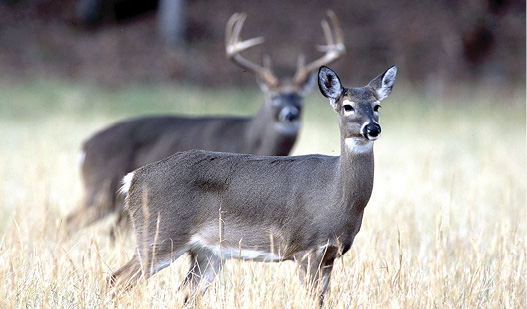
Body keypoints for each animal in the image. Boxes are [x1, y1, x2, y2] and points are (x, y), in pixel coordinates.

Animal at [66, 12, 346, 233]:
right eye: (273, 97)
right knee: (70, 222)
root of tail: (84, 147)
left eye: (300, 97)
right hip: (100, 187)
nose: (290, 114)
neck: (254, 142)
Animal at [111, 63, 398, 304]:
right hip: (159, 233)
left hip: (207, 253)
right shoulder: (306, 248)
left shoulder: (331, 253)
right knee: (117, 279)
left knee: (182, 292)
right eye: (348, 106)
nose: (372, 129)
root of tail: (133, 179)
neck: (336, 194)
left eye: (377, 106)